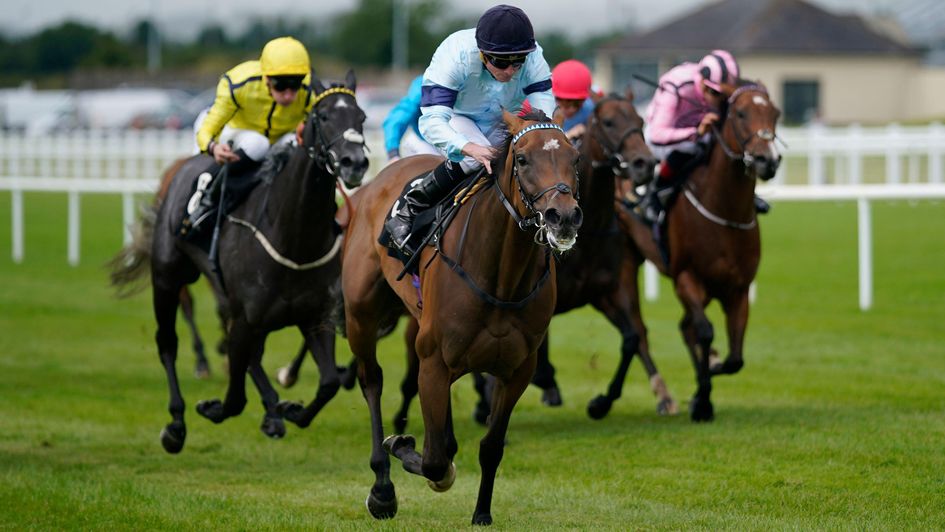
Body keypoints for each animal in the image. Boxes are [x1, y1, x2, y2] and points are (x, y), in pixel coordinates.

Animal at [107, 72, 366, 450]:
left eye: (361, 117)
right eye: (323, 116)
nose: (354, 162)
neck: (293, 237)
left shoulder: (314, 316)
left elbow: (329, 382)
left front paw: (290, 409)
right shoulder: (246, 316)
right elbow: (234, 399)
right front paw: (213, 408)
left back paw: (272, 410)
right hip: (168, 277)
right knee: (168, 342)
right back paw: (177, 422)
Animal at [342, 109, 584, 524]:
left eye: (575, 158)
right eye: (522, 159)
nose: (563, 217)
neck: (501, 279)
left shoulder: (516, 370)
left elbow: (490, 446)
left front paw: (482, 513)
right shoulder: (432, 362)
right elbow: (436, 460)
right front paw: (403, 447)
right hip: (361, 315)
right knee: (371, 382)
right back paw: (382, 489)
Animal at [616, 80, 780, 420]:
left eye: (776, 113)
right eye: (741, 113)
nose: (767, 161)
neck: (724, 210)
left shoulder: (738, 289)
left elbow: (735, 358)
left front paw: (708, 378)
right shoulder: (686, 278)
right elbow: (704, 332)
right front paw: (703, 397)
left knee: (684, 327)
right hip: (625, 260)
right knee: (645, 329)